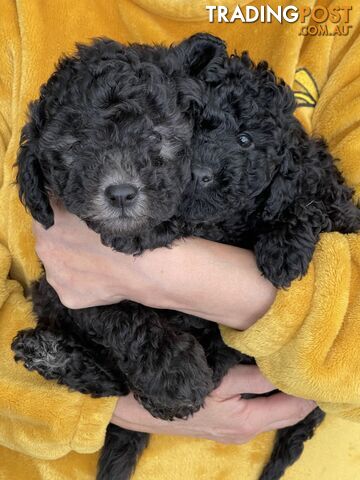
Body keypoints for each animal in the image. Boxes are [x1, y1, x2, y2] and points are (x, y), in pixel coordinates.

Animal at [11, 34, 360, 480]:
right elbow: (121, 314)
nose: (121, 193)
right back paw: (54, 356)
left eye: (156, 136)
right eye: (73, 147)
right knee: (116, 385)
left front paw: (284, 245)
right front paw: (175, 377)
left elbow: (310, 202)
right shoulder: (71, 286)